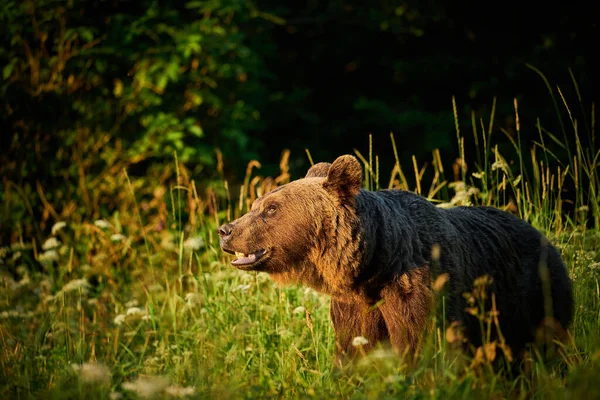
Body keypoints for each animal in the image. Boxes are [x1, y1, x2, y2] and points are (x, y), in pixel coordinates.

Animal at [218, 155, 576, 366]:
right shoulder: (355, 306)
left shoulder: (418, 288)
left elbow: (420, 342)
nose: (226, 230)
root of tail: (541, 234)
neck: (374, 265)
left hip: (534, 295)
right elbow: (354, 347)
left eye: (271, 209)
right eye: (256, 203)